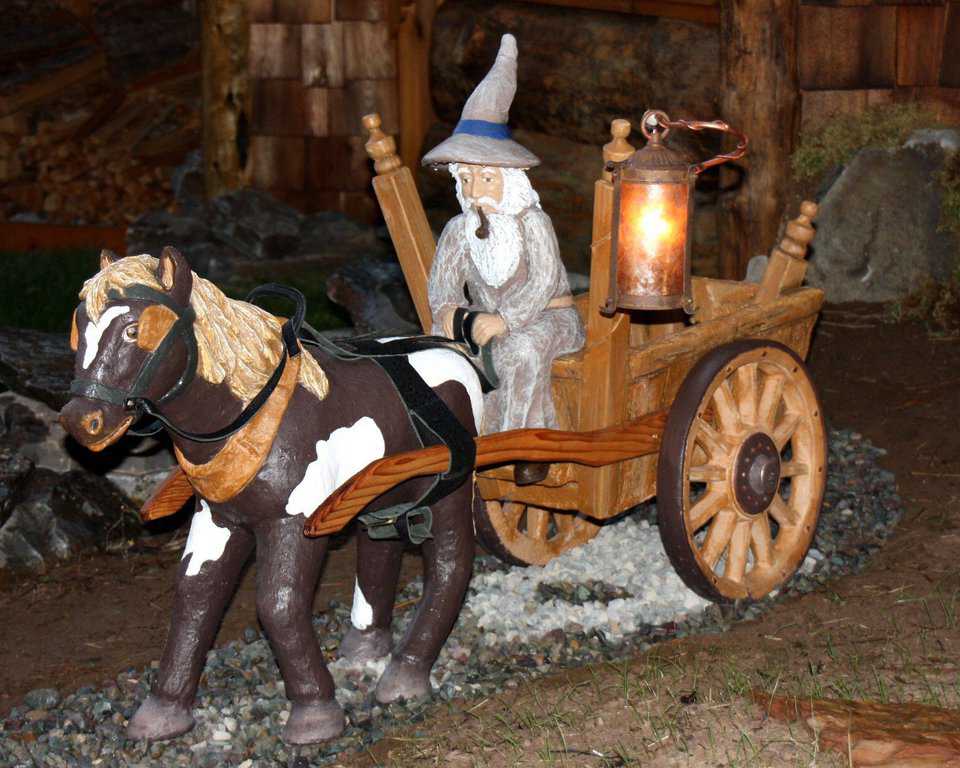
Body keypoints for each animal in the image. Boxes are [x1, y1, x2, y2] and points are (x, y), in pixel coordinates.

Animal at [59, 248, 480, 744]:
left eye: (132, 330)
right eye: (79, 330)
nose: (81, 420)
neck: (252, 415)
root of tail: (453, 354)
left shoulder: (293, 522)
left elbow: (278, 603)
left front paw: (314, 713)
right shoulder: (218, 517)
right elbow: (195, 594)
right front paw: (163, 709)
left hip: (450, 487)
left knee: (451, 564)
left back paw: (407, 672)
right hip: (383, 491)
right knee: (381, 550)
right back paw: (365, 646)